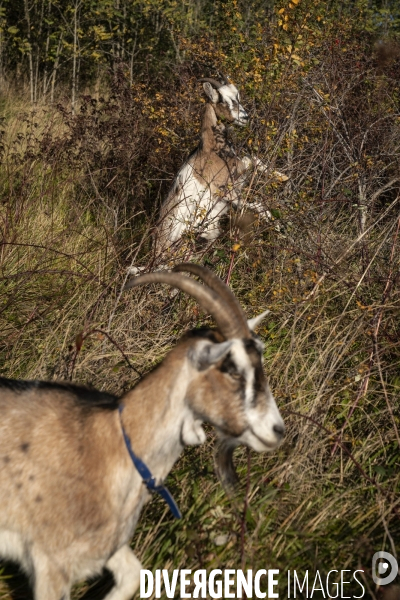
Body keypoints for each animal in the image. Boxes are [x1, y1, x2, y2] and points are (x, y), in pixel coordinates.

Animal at [0, 264, 284, 600]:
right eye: (231, 368)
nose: (277, 430)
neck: (110, 442)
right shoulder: (50, 563)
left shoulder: (105, 547)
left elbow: (134, 574)